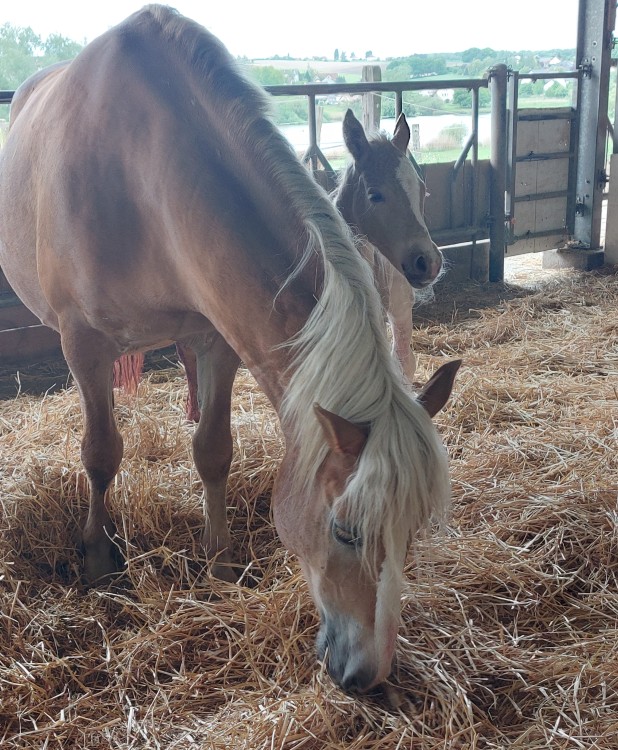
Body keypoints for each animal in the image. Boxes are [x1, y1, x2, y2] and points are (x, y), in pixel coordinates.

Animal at [0, 7, 458, 700]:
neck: (143, 175)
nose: (368, 675)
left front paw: (217, 561)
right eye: (344, 531)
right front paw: (100, 560)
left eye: (414, 530)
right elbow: (101, 453)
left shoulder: (216, 337)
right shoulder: (83, 343)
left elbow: (213, 451)